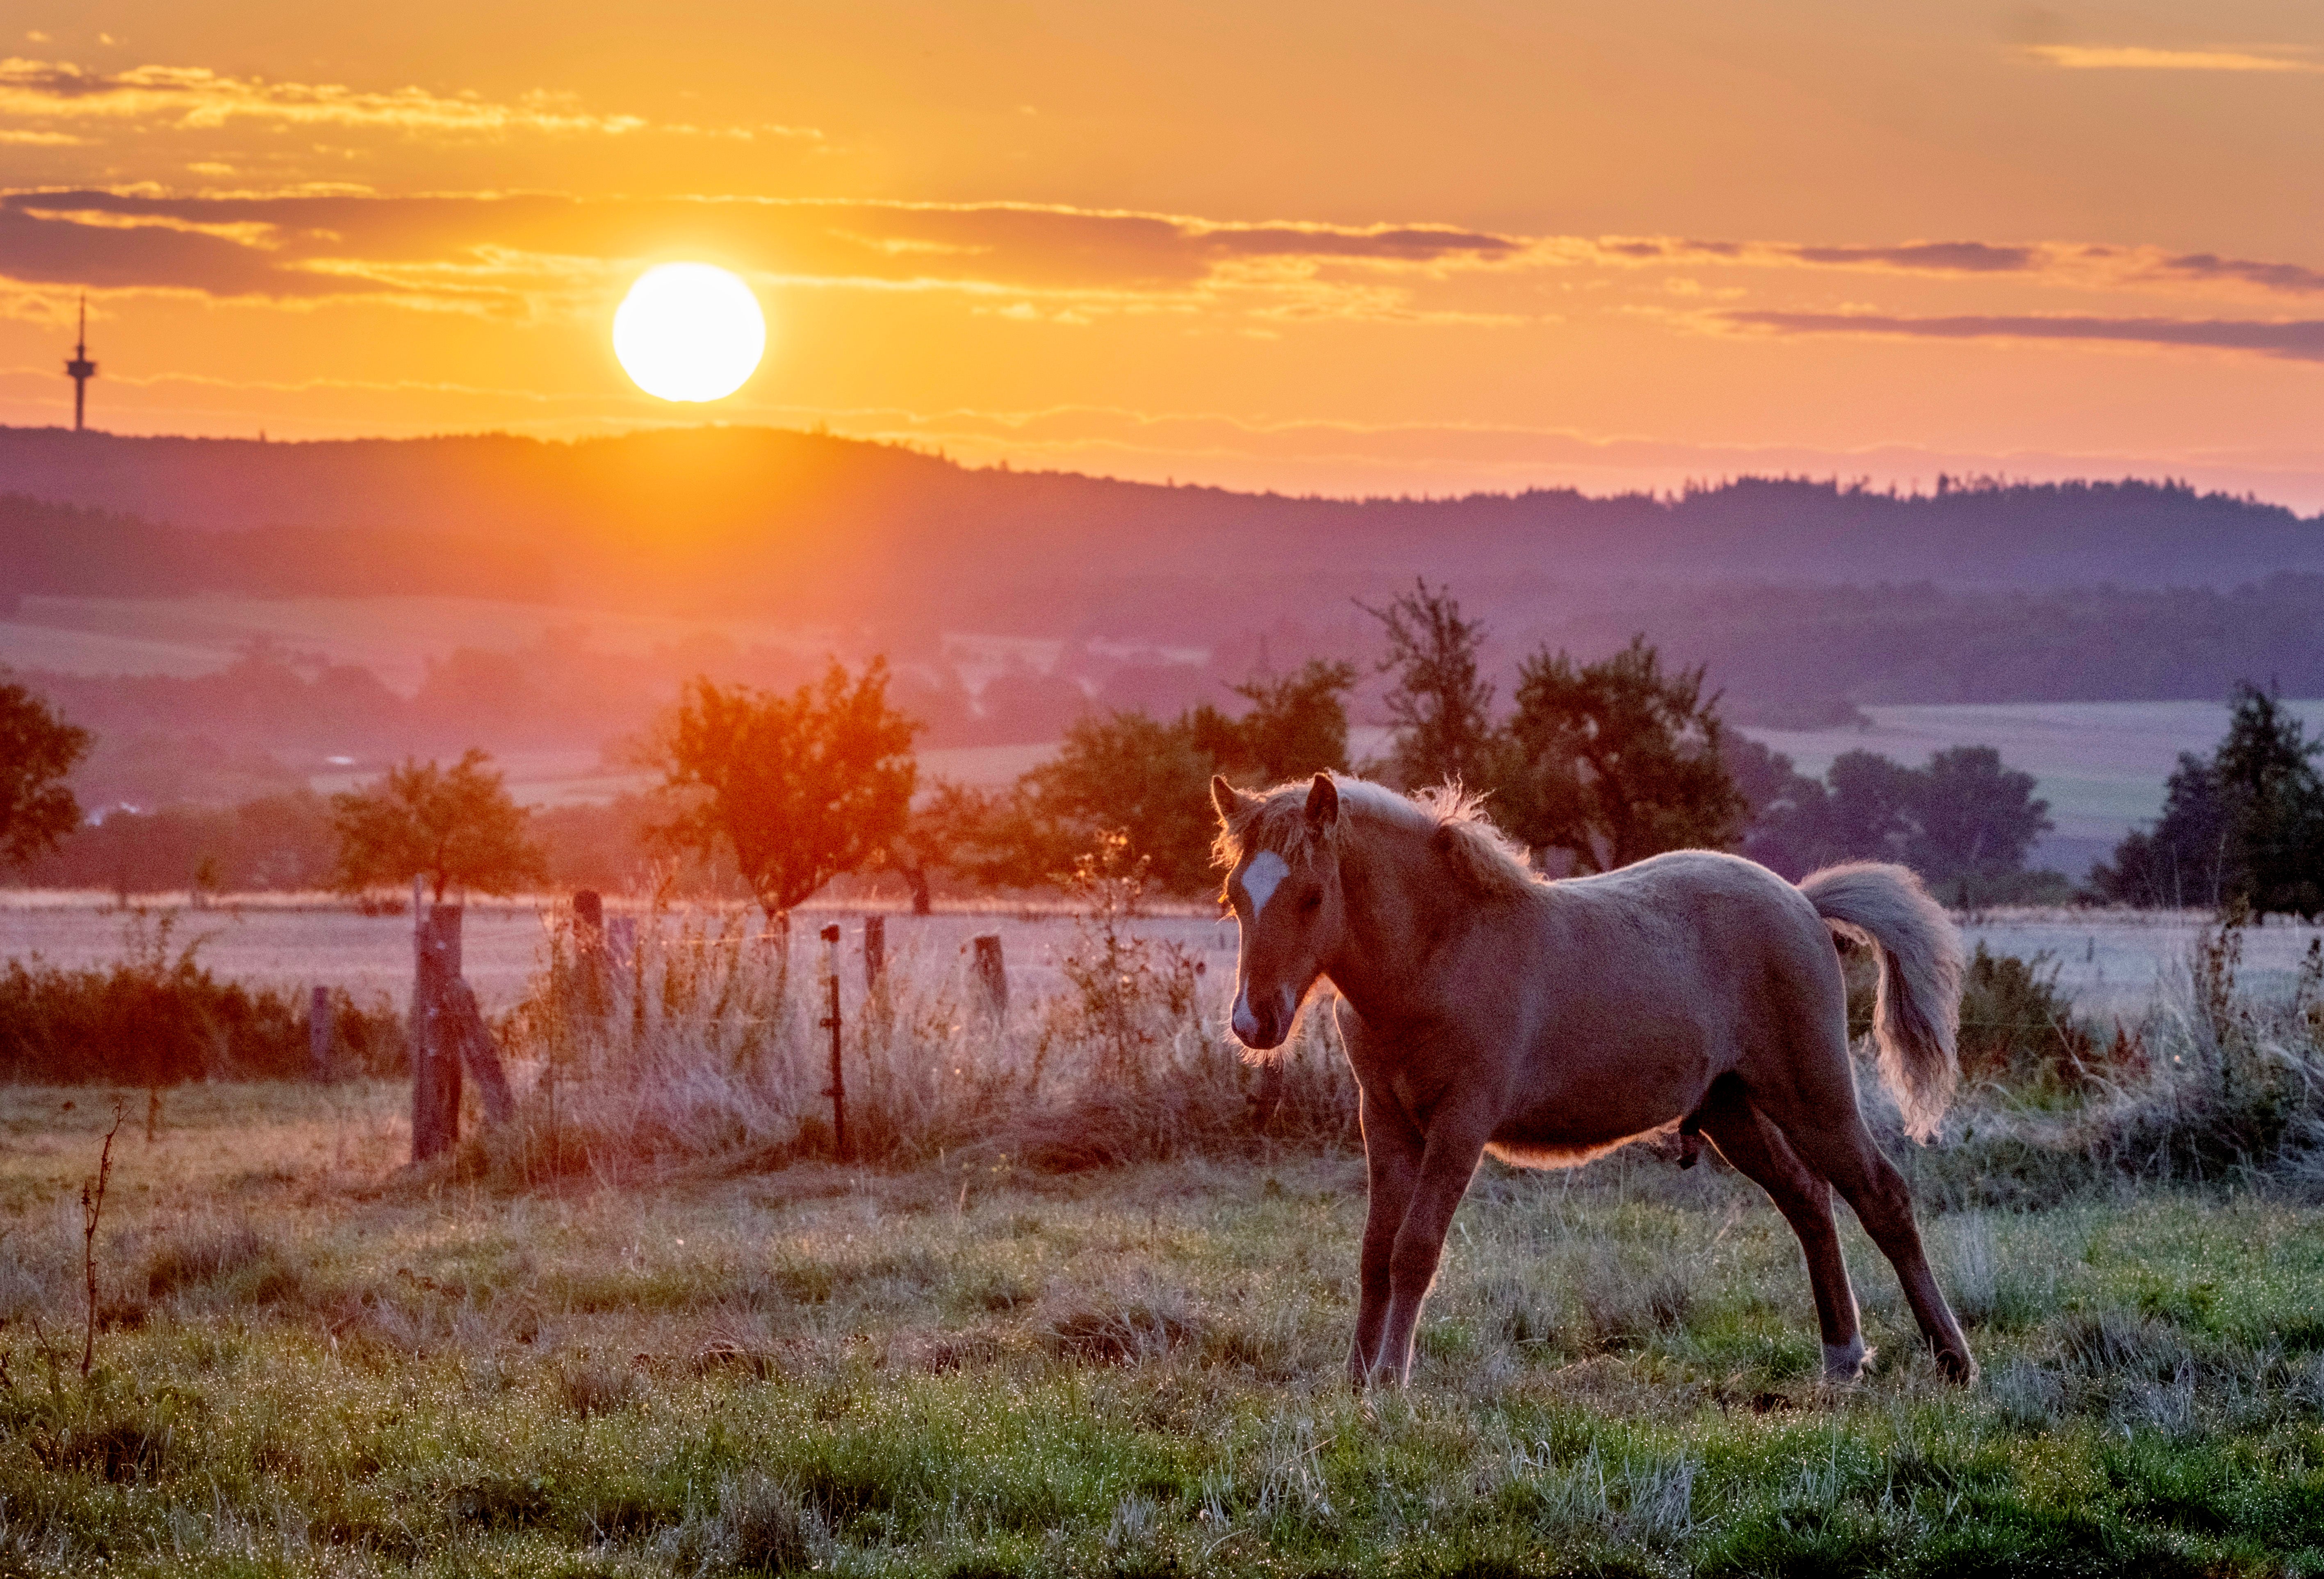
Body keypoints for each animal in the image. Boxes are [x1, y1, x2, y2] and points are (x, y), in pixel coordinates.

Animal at [1208, 772, 1971, 1386]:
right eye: (1235, 896)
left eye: (1311, 896)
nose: (1254, 1021)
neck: (1437, 954)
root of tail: (1804, 902)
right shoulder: (1386, 1120)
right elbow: (1374, 1251)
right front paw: (1357, 1379)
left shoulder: (1461, 1121)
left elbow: (1415, 1249)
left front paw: (1390, 1382)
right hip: (1731, 1108)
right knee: (1809, 1200)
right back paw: (1842, 1357)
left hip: (1811, 1093)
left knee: (1881, 1195)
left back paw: (1952, 1359)